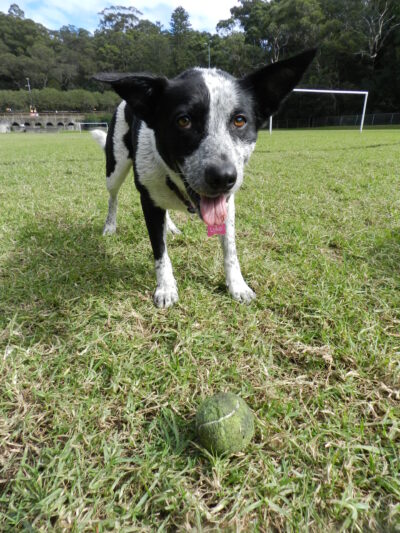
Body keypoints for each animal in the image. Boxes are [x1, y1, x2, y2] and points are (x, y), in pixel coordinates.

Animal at [94, 51, 316, 308]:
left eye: (240, 120)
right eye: (184, 120)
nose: (223, 177)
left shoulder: (227, 203)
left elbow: (230, 248)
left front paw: (237, 285)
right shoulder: (148, 200)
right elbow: (160, 251)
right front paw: (166, 287)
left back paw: (170, 226)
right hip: (116, 167)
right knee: (113, 196)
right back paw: (110, 225)